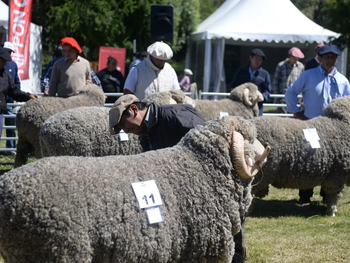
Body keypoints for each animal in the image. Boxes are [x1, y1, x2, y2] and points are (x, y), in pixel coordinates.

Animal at [0, 117, 270, 263]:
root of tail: (7, 189)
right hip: (57, 251)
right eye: (249, 139)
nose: (267, 151)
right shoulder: (206, 250)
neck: (200, 167)